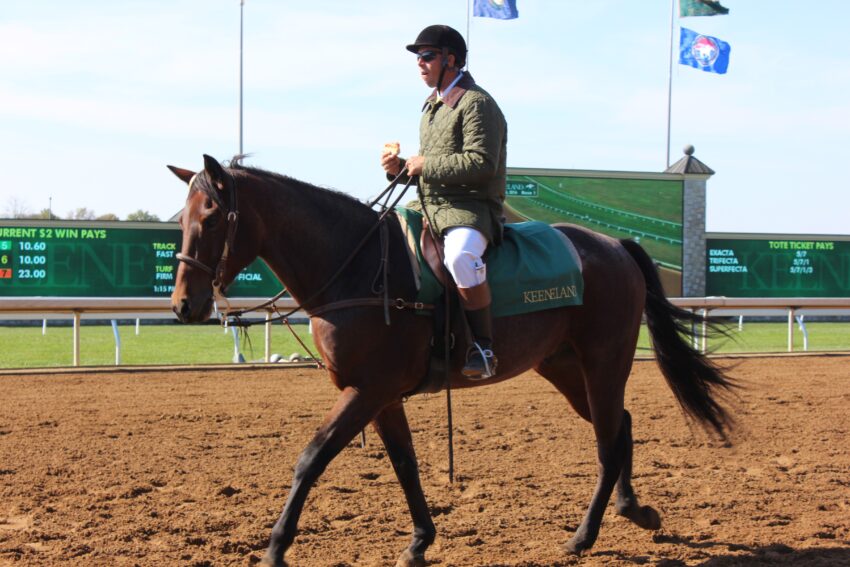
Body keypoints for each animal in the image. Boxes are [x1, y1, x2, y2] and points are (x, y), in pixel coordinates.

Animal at [169, 155, 732, 567]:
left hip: (604, 362)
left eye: (212, 217)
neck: (359, 267)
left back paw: (583, 536)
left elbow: (312, 458)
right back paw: (634, 510)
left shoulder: (366, 391)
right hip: (565, 367)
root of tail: (613, 244)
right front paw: (420, 540)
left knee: (608, 441)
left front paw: (275, 547)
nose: (183, 305)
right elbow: (405, 464)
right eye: (182, 220)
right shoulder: (382, 396)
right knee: (620, 426)